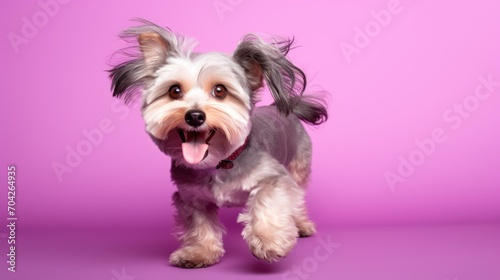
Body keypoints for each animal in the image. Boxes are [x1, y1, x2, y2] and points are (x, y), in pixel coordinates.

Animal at [108, 18, 328, 268]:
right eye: (174, 90)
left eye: (220, 90)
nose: (194, 116)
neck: (219, 162)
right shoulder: (190, 197)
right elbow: (199, 225)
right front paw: (199, 252)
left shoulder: (274, 179)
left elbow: (267, 203)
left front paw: (268, 241)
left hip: (298, 167)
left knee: (297, 198)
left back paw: (301, 224)